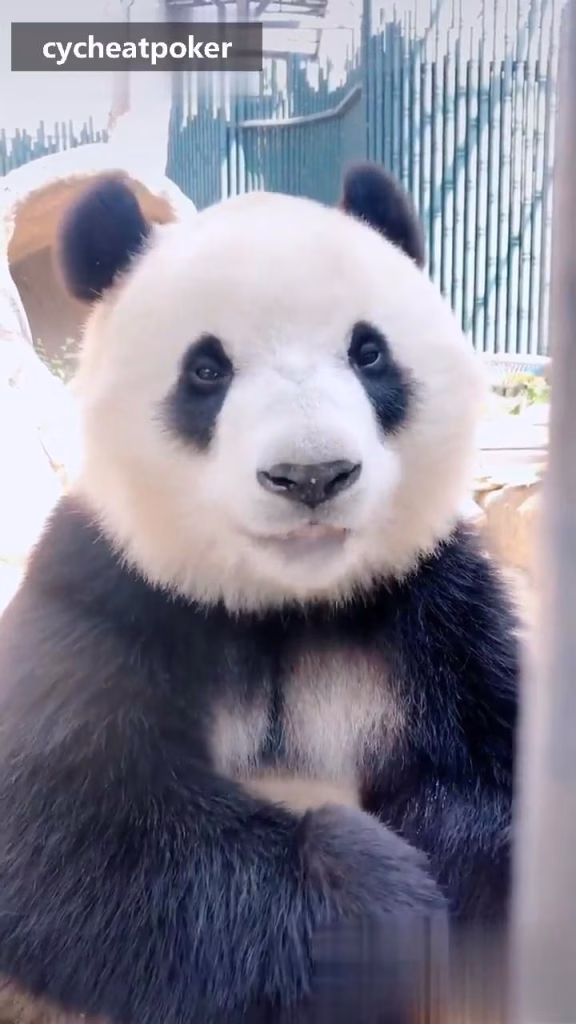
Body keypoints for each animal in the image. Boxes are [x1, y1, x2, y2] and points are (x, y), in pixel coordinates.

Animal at [0, 164, 519, 1024]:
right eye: (206, 369)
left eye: (369, 353)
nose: (312, 476)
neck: (284, 602)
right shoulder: (107, 589)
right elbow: (71, 828)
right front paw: (369, 902)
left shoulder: (441, 612)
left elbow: (501, 790)